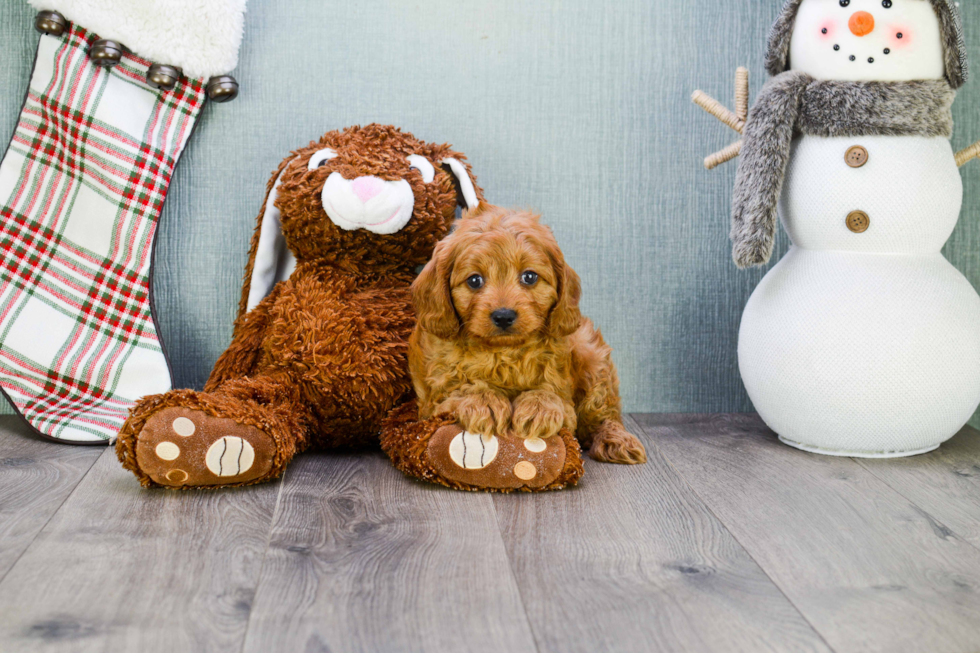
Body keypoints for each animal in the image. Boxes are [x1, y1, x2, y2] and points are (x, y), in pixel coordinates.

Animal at [410, 204, 648, 464]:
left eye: (529, 277)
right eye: (474, 280)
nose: (503, 315)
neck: (503, 352)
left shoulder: (566, 400)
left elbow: (551, 395)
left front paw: (539, 407)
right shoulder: (431, 405)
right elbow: (460, 389)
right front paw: (483, 401)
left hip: (592, 355)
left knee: (603, 411)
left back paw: (616, 440)